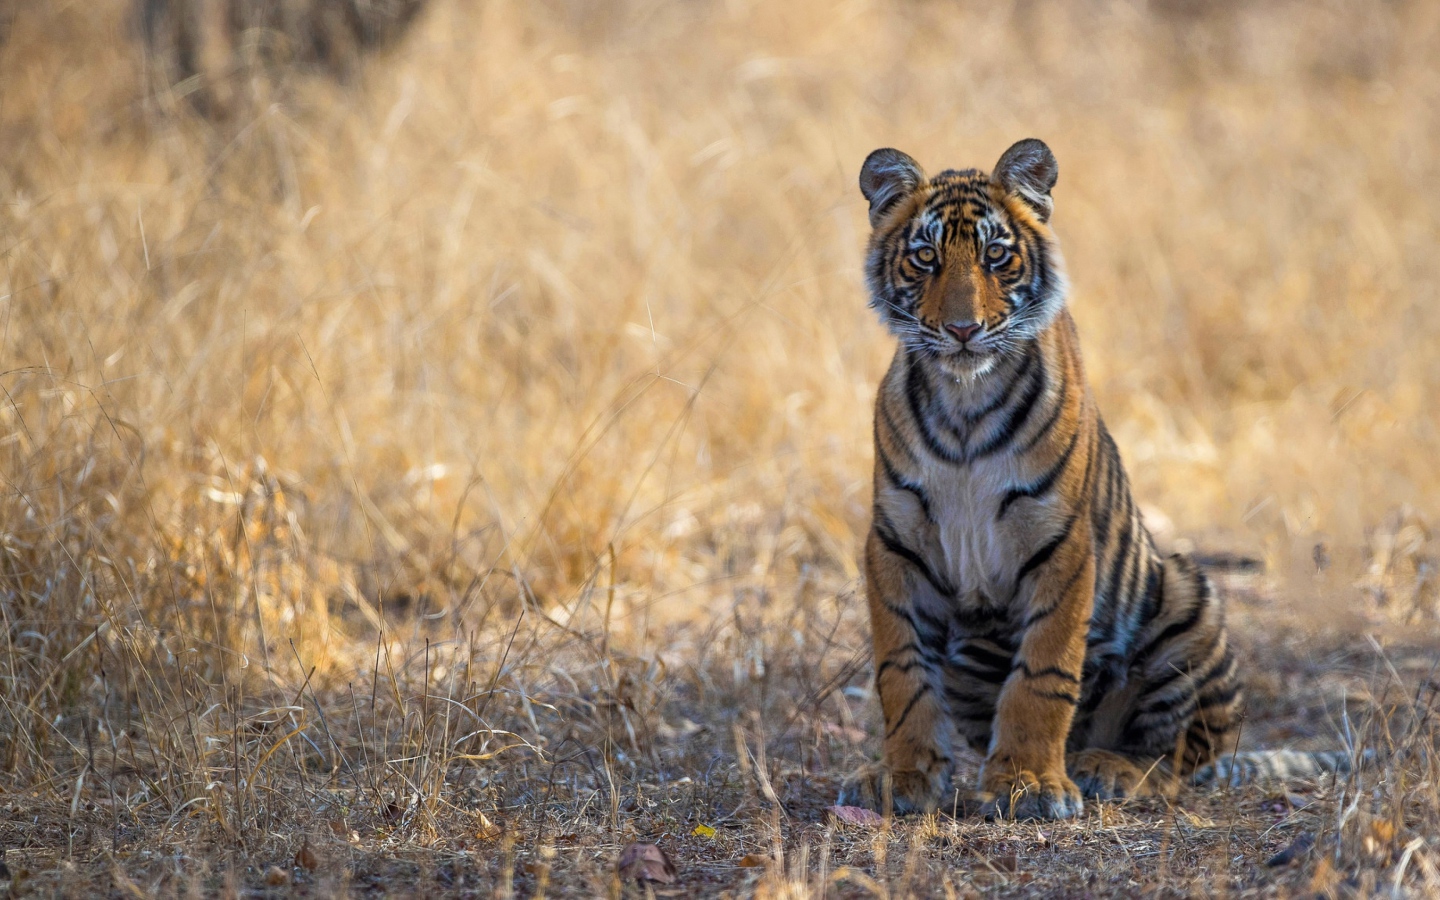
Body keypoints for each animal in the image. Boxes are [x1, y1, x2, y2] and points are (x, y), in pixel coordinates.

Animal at [844, 138, 1356, 820]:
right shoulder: (895, 544)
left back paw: (1106, 767)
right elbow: (902, 673)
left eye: (996, 256)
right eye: (925, 258)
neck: (963, 403)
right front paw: (903, 777)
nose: (962, 330)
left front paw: (1030, 783)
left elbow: (1042, 674)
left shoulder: (1059, 544)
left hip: (1188, 599)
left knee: (1179, 763)